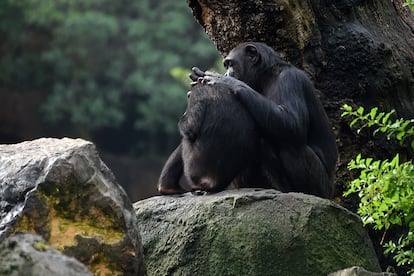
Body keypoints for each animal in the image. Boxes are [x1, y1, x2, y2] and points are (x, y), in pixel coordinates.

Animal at [157, 42, 338, 198]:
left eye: (230, 64)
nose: (226, 73)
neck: (265, 76)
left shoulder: (290, 78)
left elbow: (293, 122)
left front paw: (226, 81)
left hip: (321, 187)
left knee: (289, 144)